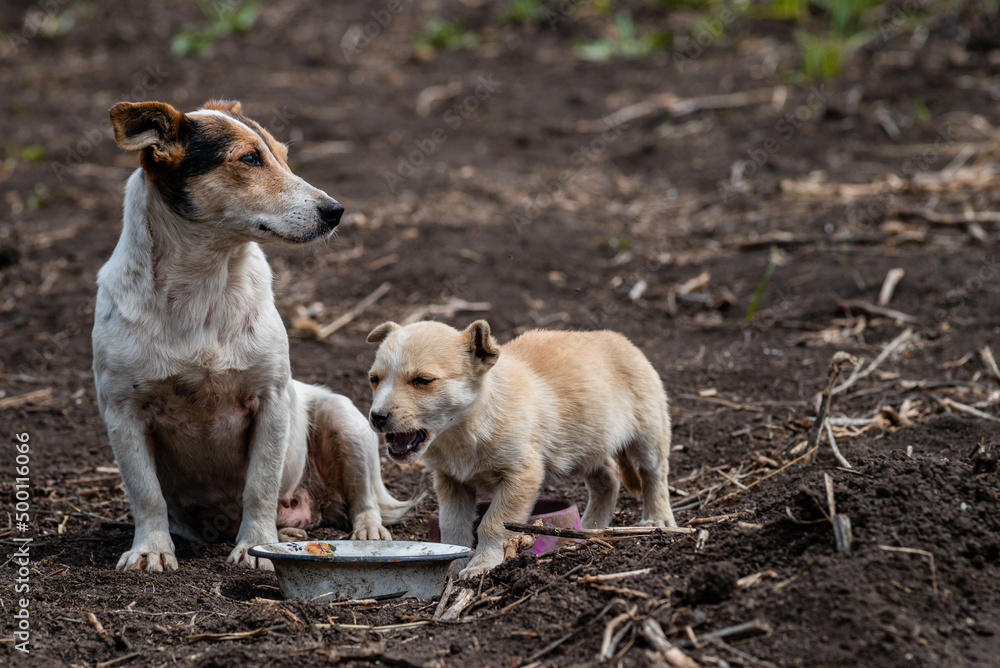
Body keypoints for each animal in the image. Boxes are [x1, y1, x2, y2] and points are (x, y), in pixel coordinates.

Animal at [94, 99, 414, 576]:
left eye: (282, 154)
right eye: (249, 159)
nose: (336, 211)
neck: (203, 288)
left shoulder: (271, 400)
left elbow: (259, 485)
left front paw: (256, 547)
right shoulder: (122, 413)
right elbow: (146, 493)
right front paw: (151, 549)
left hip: (345, 420)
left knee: (364, 499)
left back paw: (364, 532)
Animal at [364, 320, 676, 576]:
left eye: (422, 380)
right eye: (374, 379)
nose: (377, 417)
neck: (466, 428)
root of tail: (622, 340)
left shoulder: (521, 476)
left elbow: (492, 523)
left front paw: (481, 565)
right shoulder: (451, 481)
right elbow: (452, 526)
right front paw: (452, 563)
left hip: (649, 435)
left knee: (654, 476)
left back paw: (657, 519)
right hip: (586, 447)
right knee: (608, 480)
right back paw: (591, 528)